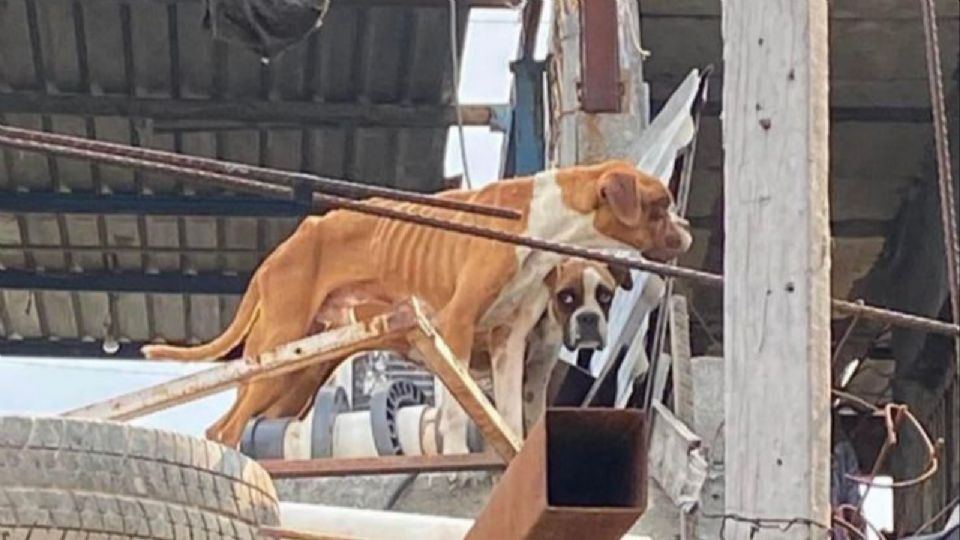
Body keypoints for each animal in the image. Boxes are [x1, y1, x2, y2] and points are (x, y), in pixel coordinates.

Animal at [142, 159, 688, 448]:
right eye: (661, 204)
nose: (685, 233)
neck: (538, 220)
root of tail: (280, 252)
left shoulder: (510, 344)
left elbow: (511, 420)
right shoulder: (456, 326)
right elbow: (453, 415)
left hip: (298, 375)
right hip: (276, 350)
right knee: (224, 428)